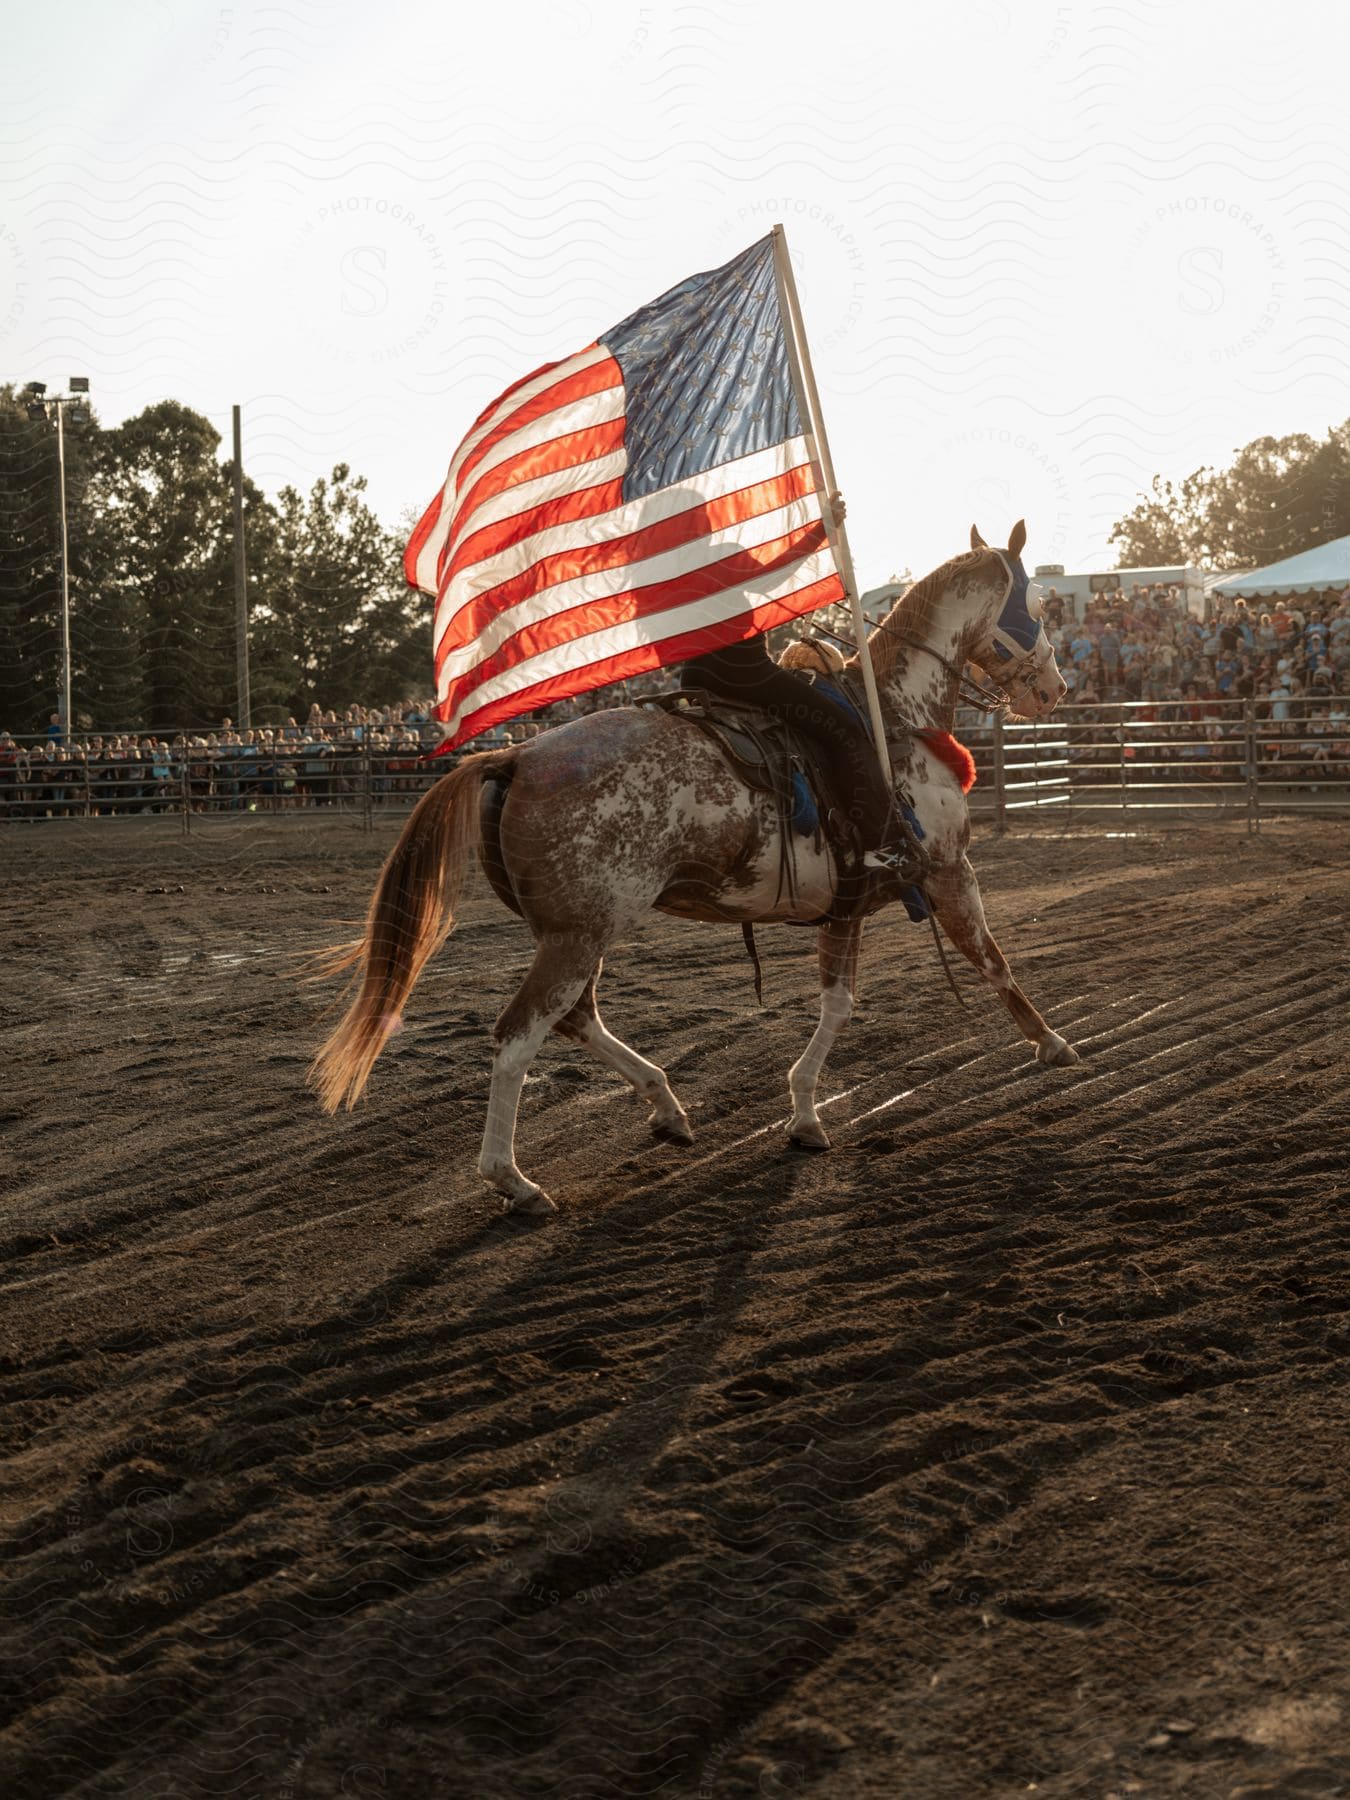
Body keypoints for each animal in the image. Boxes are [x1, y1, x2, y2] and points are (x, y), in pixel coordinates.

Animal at [315, 525, 1080, 1216]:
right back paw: (516, 1181)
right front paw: (1053, 1044)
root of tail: (515, 756)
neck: (893, 714)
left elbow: (838, 1001)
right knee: (518, 1035)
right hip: (577, 935)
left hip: (574, 931)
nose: (1056, 687)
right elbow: (991, 960)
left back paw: (666, 1106)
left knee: (575, 1019)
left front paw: (805, 1114)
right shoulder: (950, 869)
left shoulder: (848, 904)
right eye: (1037, 607)